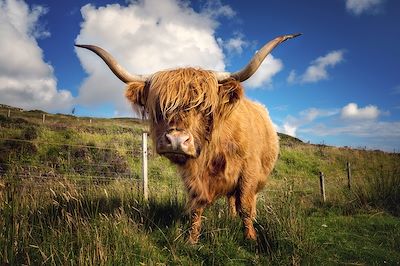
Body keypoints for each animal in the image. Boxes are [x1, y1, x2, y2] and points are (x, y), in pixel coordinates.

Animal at [75, 33, 300, 243]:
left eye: (205, 108)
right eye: (159, 108)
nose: (176, 140)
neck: (212, 152)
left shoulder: (249, 171)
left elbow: (245, 204)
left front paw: (250, 238)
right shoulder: (192, 179)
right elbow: (196, 208)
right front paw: (192, 240)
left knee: (247, 201)